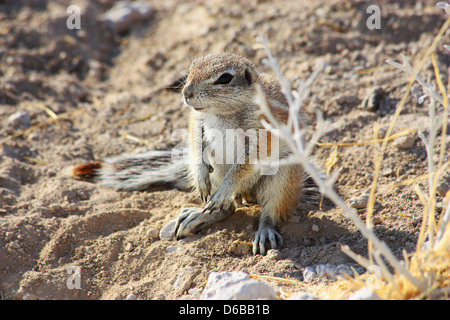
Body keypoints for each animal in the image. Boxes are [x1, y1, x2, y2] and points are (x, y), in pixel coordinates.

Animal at [74, 51, 312, 254]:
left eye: (225, 78)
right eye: (192, 67)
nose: (186, 93)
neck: (222, 114)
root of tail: (246, 193)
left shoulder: (264, 132)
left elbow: (247, 162)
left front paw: (225, 188)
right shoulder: (197, 119)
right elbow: (196, 141)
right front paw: (199, 174)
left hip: (283, 177)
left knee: (270, 211)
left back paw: (263, 230)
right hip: (217, 172)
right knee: (227, 208)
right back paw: (197, 215)